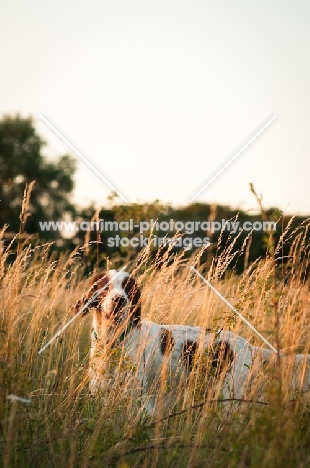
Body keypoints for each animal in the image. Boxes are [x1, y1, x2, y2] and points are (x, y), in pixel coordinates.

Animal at [74, 270, 310, 414]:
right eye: (104, 287)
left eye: (128, 288)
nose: (119, 301)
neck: (113, 341)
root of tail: (249, 346)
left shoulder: (136, 396)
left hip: (229, 398)